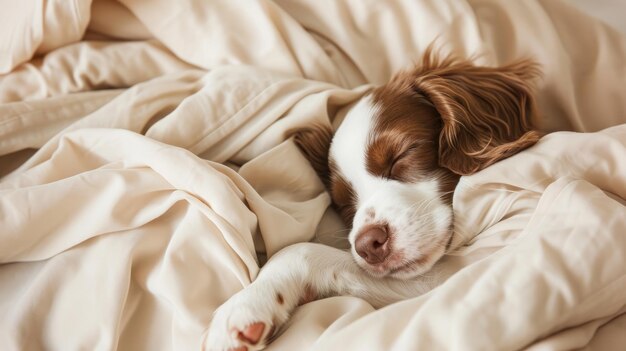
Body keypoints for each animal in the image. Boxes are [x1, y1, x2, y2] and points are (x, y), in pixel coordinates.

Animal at [204, 49, 540, 351]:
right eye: (345, 203)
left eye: (400, 156)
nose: (368, 245)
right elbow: (308, 253)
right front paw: (247, 306)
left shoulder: (485, 271)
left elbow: (301, 250)